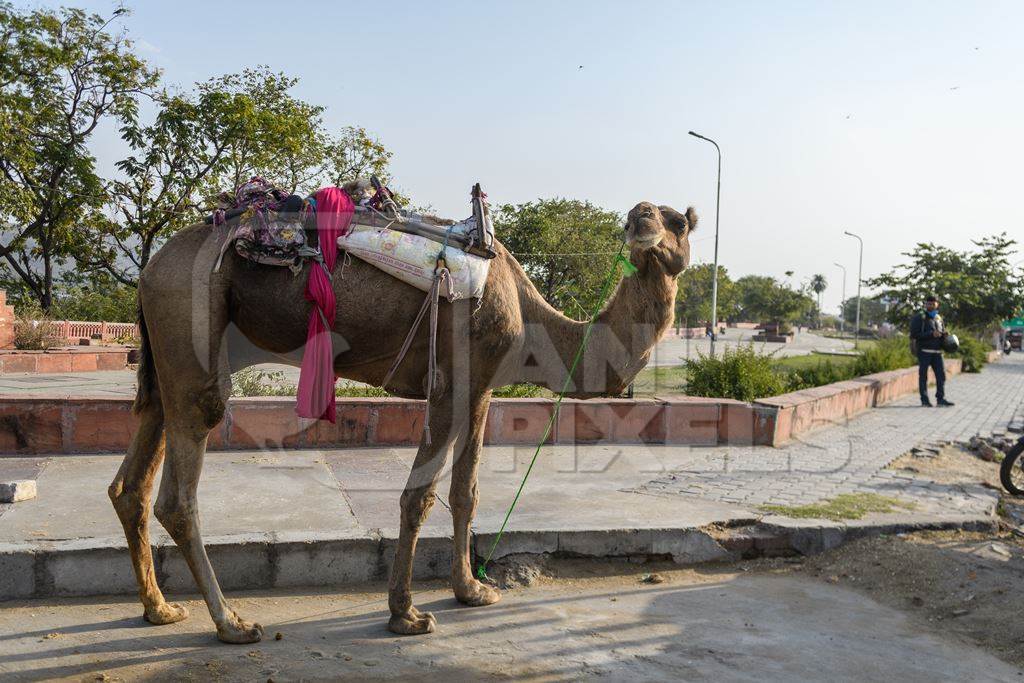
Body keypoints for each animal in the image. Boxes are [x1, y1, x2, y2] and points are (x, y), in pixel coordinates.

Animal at [105, 197, 696, 643]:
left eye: (680, 221)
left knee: (133, 476)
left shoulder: (482, 387)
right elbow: (420, 495)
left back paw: (160, 609)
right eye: (664, 217)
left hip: (169, 351)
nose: (641, 216)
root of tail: (150, 268)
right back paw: (230, 623)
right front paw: (406, 613)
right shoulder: (450, 383)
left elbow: (466, 491)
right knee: (181, 481)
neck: (532, 323)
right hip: (192, 312)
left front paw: (471, 591)